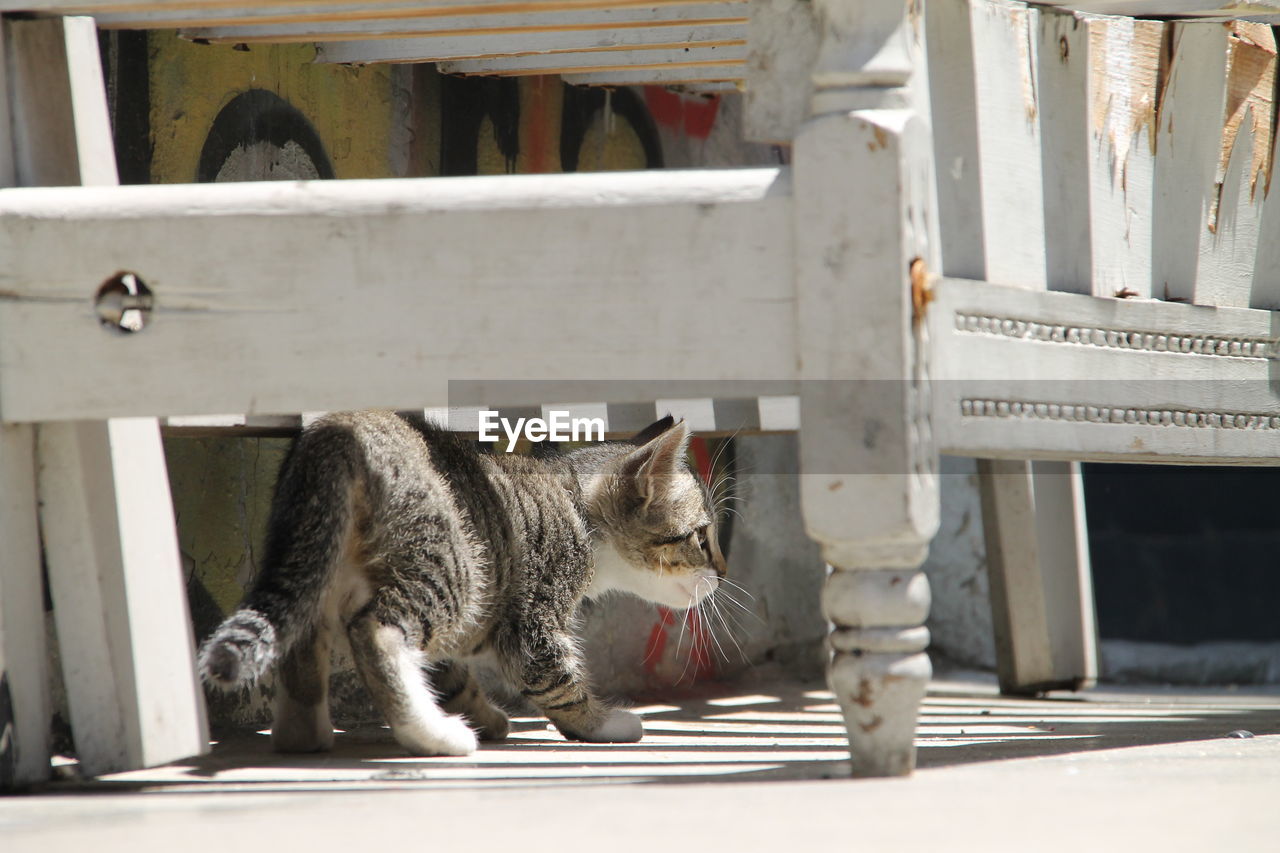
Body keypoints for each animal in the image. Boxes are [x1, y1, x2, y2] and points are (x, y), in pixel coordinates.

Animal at [195, 409, 727, 753]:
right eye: (702, 537)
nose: (722, 574)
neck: (576, 507)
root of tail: (338, 430)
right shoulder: (533, 616)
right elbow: (551, 675)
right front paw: (602, 722)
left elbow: (449, 673)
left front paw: (485, 714)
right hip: (452, 569)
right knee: (378, 631)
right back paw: (431, 735)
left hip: (315, 562)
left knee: (304, 644)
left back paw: (303, 737)